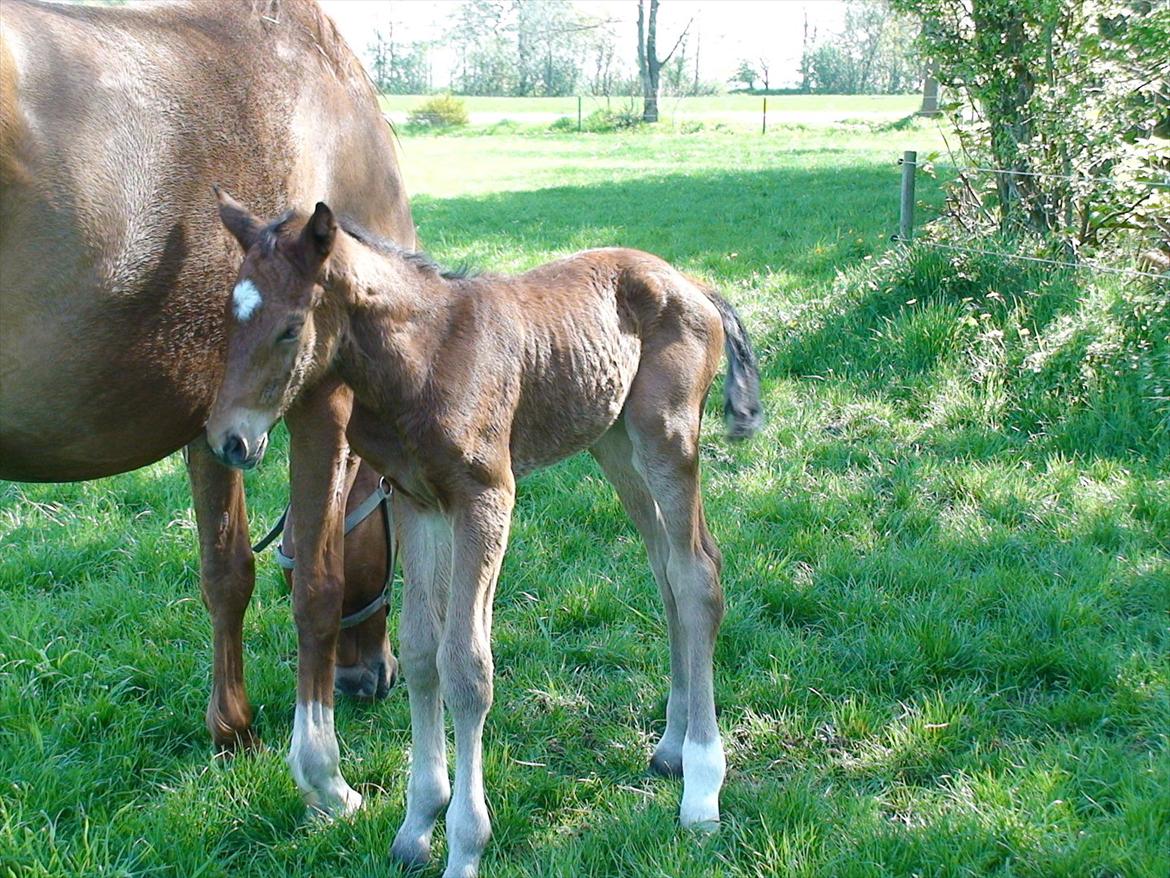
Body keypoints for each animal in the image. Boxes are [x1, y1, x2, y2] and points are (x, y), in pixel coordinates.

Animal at [0, 0, 414, 758]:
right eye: (392, 523)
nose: (370, 677)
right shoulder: (321, 404)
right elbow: (316, 581)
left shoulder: (214, 421)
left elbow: (227, 571)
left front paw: (232, 729)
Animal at [205, 194, 762, 878]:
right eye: (230, 319)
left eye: (289, 327)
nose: (228, 440)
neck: (421, 359)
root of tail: (697, 286)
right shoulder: (416, 502)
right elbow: (422, 653)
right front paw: (417, 825)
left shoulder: (486, 498)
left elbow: (466, 668)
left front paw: (465, 845)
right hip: (615, 442)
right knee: (666, 576)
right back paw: (672, 747)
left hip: (667, 436)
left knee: (698, 576)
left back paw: (702, 787)